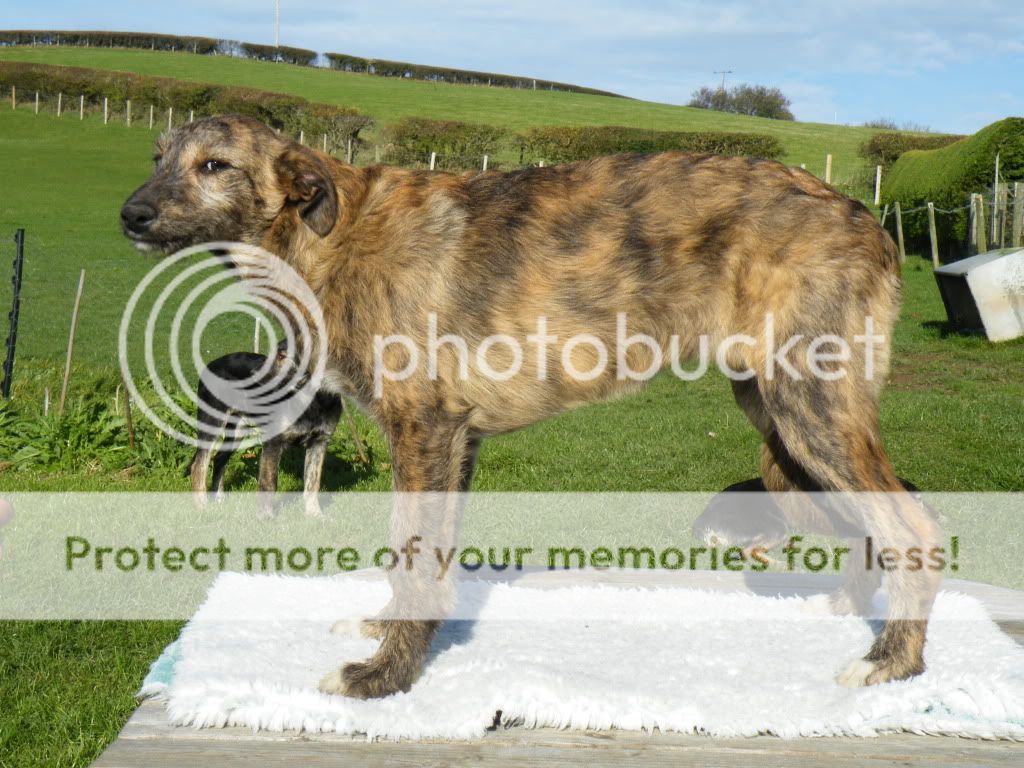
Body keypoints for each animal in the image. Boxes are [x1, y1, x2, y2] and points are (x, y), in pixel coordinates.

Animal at [187, 348, 339, 518]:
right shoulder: (274, 442)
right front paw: (266, 517)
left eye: (282, 356)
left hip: (238, 429)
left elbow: (313, 483)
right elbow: (269, 483)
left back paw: (218, 499)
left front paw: (315, 514)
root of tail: (209, 366)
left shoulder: (319, 442)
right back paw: (202, 507)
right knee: (199, 465)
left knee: (219, 458)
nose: (253, 374)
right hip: (213, 422)